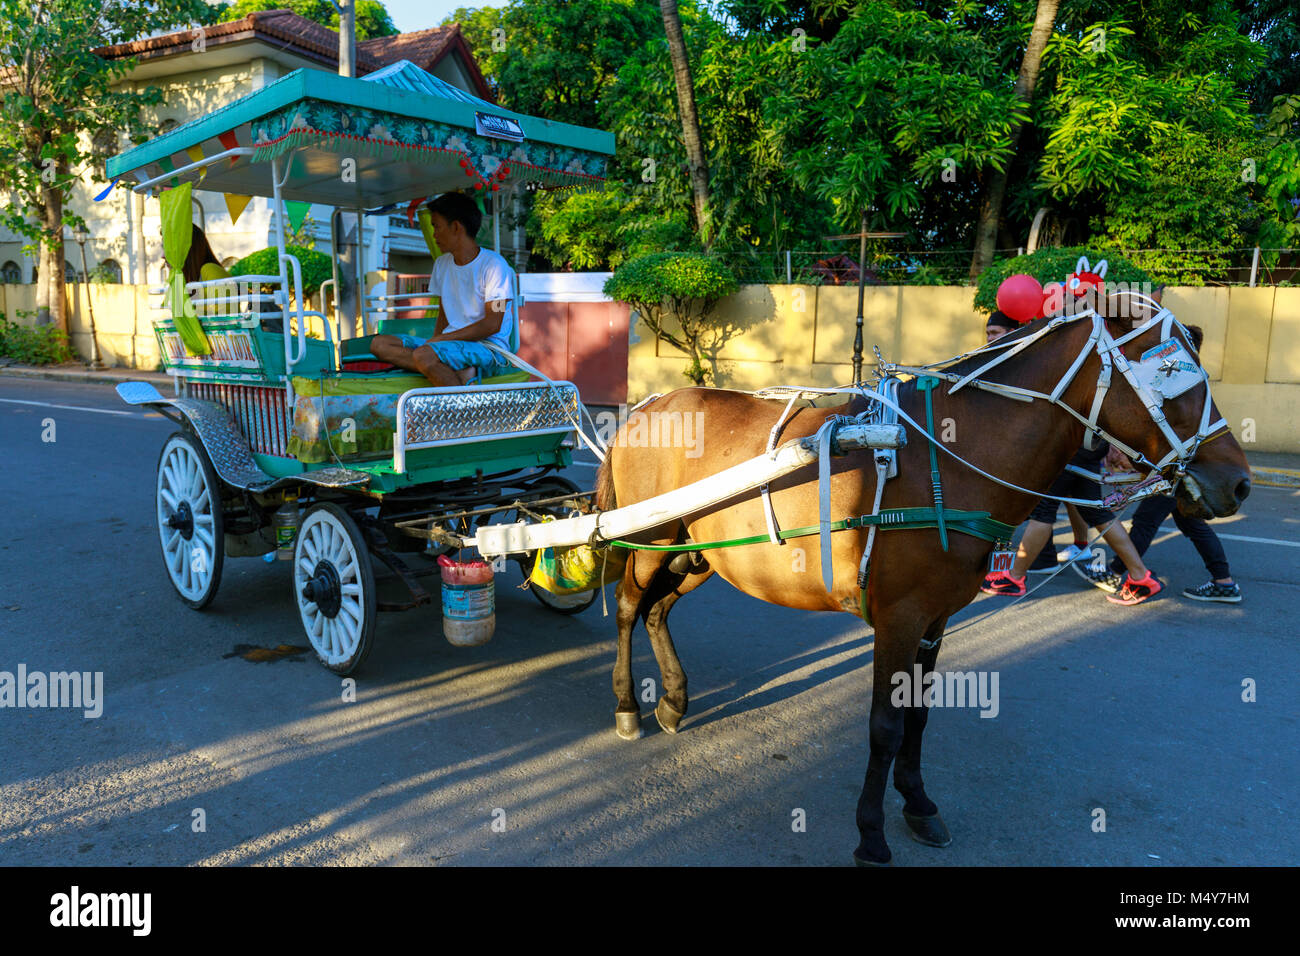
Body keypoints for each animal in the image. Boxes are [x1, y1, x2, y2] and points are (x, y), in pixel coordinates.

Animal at [595, 308, 1248, 868]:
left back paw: (674, 699)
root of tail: (648, 406)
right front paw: (870, 832)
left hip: (696, 553)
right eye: (1171, 374)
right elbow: (885, 725)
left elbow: (919, 717)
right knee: (629, 605)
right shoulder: (899, 618)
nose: (1237, 483)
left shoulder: (935, 620)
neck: (951, 458)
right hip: (649, 540)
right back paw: (627, 705)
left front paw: (917, 803)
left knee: (658, 610)